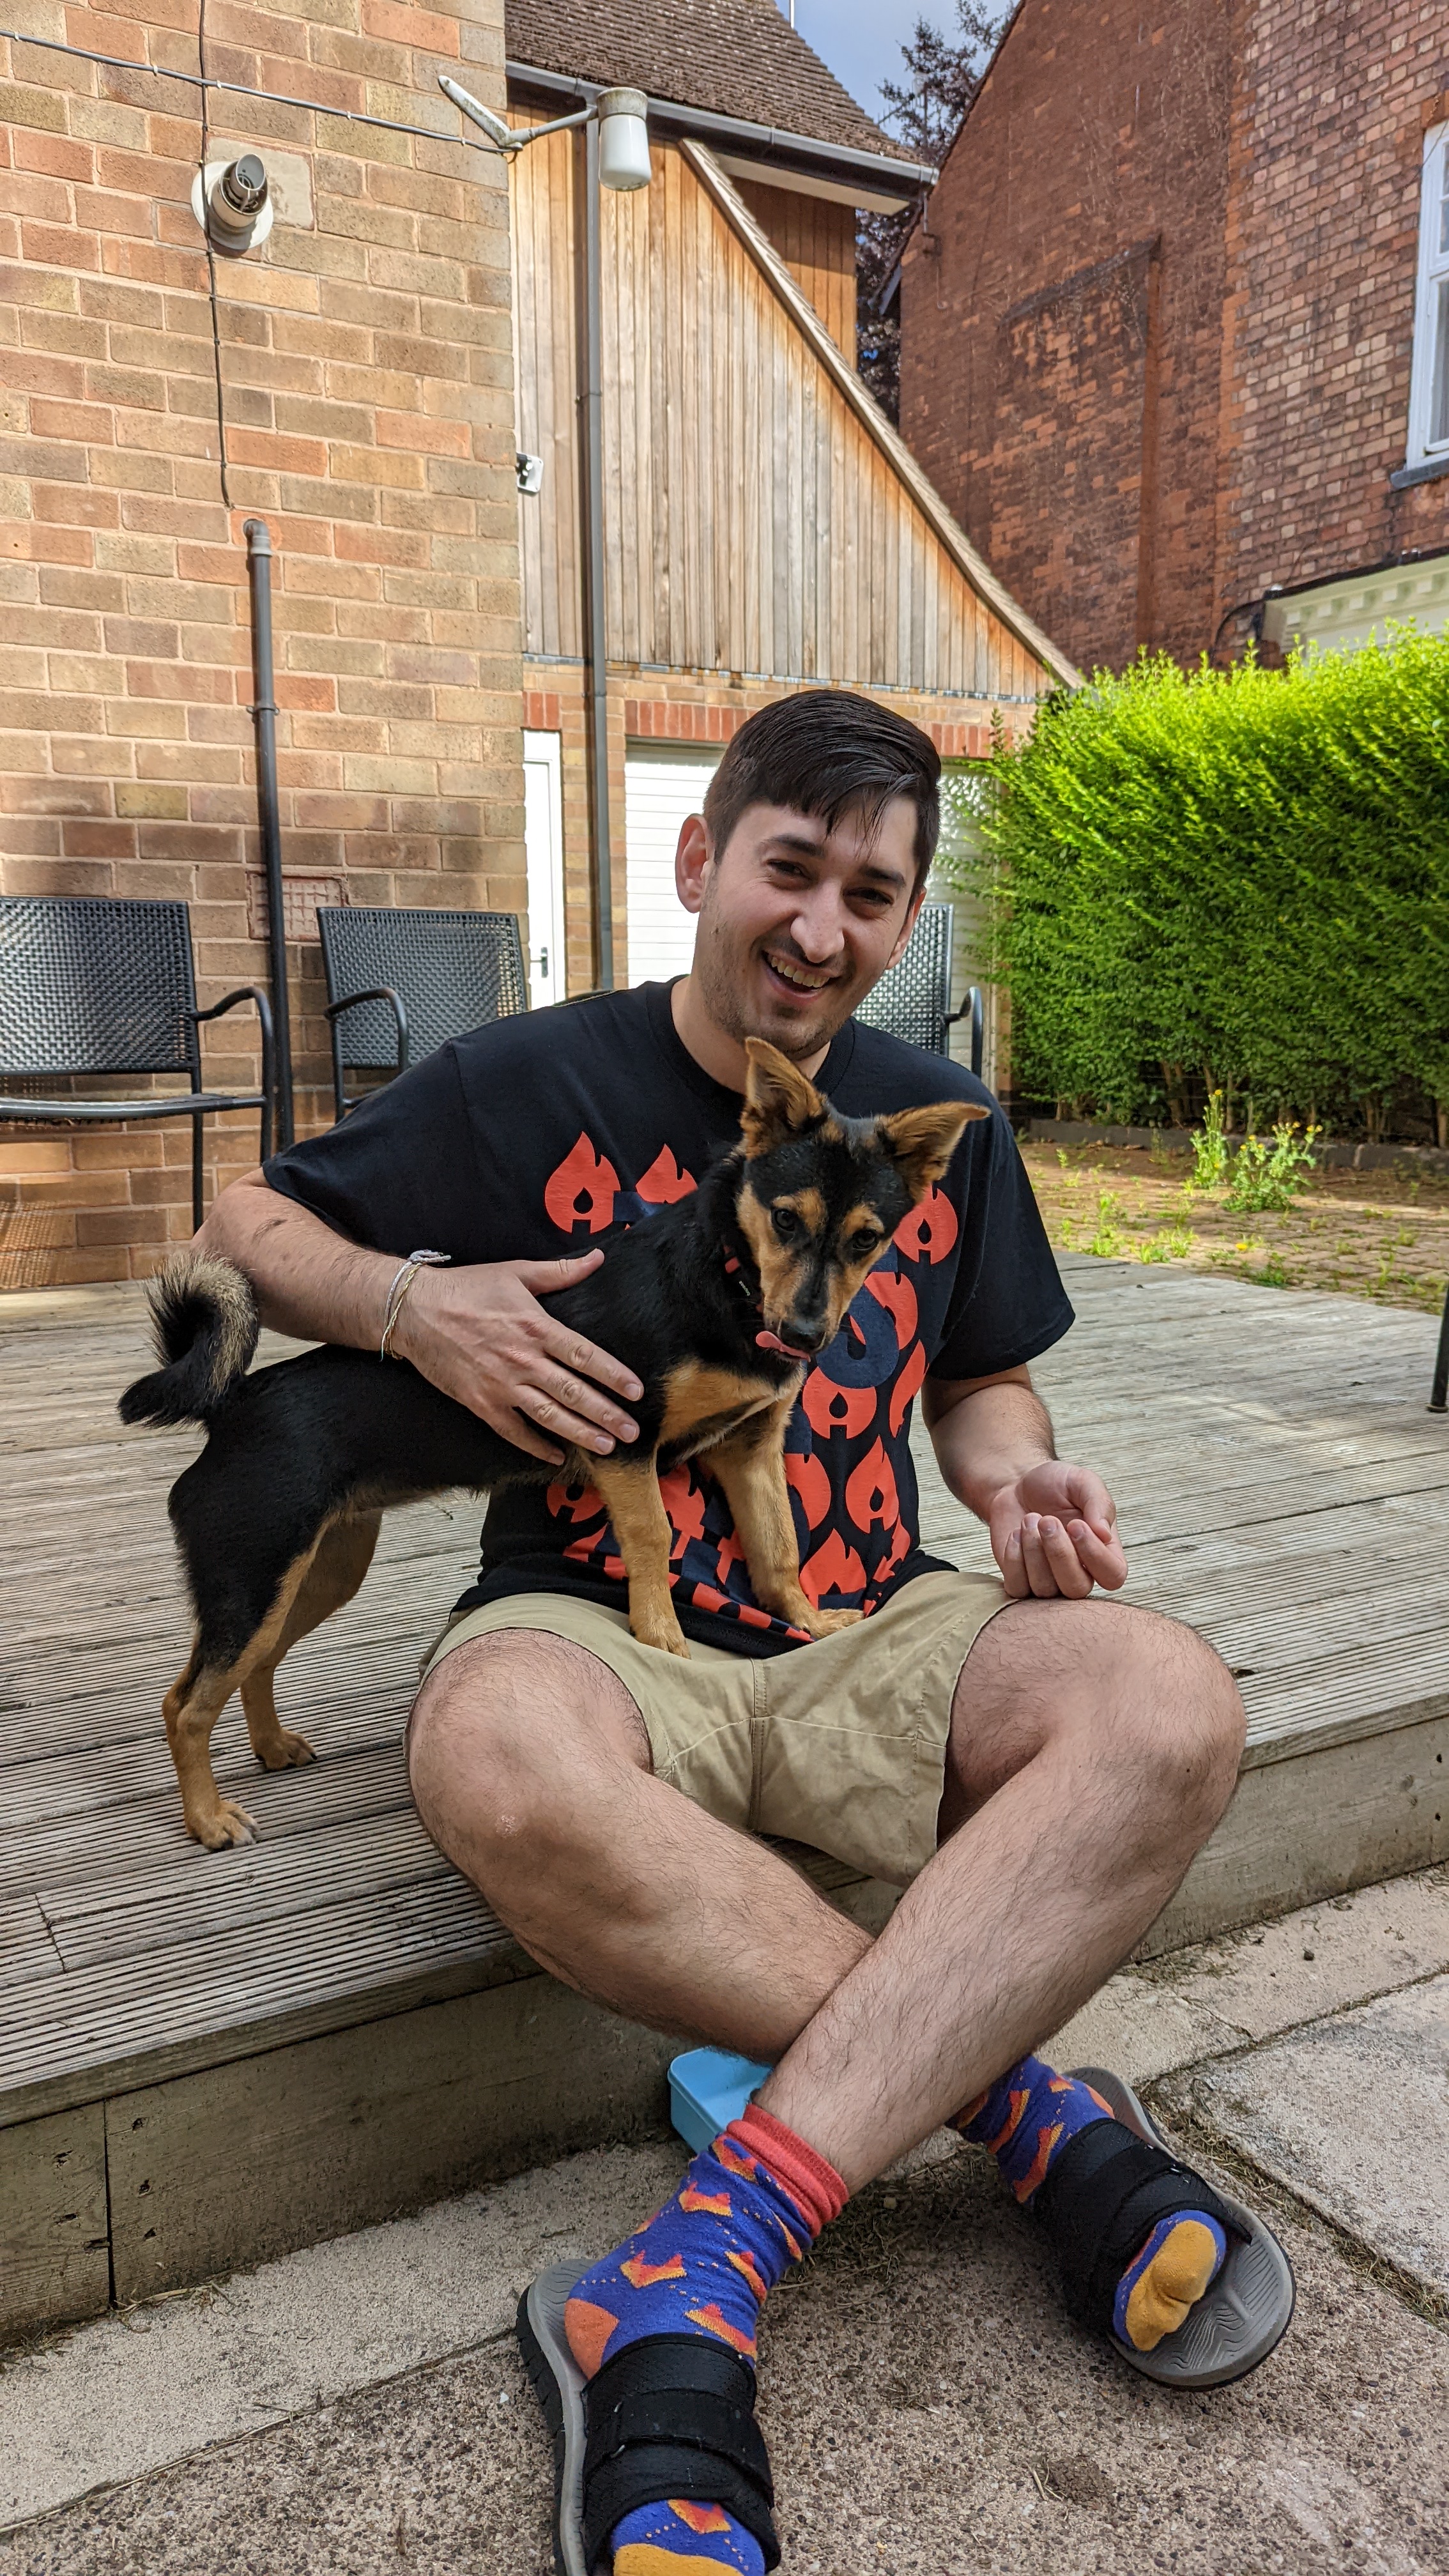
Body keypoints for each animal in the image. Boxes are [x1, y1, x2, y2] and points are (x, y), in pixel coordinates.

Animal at [123, 1040, 979, 1855]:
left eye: (868, 1240)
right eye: (786, 1219)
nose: (804, 1336)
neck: (726, 1282)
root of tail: (233, 1404)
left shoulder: (749, 1451)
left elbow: (777, 1548)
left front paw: (806, 1619)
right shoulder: (625, 1438)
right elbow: (653, 1536)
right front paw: (661, 1634)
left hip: (314, 1570)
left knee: (255, 1666)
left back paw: (271, 1748)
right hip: (253, 1575)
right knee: (183, 1703)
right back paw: (208, 1819)